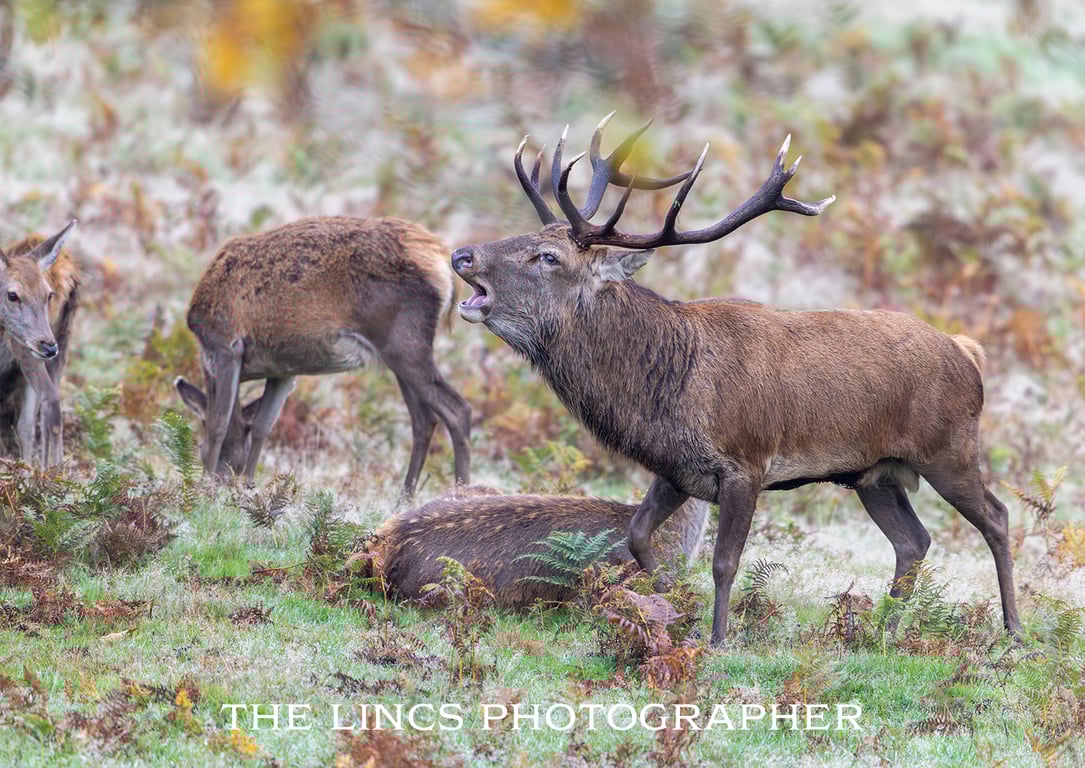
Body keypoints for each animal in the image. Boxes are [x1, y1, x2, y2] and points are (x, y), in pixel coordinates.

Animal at [0, 221, 79, 468]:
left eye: (48, 295)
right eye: (13, 295)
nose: (48, 346)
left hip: (29, 352)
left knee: (49, 400)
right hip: (59, 348)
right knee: (32, 421)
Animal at [175, 216, 471, 496]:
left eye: (198, 435)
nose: (224, 477)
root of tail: (440, 259)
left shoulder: (226, 346)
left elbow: (218, 425)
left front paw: (205, 492)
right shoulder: (283, 370)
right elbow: (263, 426)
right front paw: (247, 488)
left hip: (404, 342)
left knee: (457, 410)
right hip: (399, 353)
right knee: (424, 420)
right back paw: (404, 499)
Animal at [450, 113, 1020, 647]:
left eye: (548, 257)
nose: (462, 255)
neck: (667, 389)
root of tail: (968, 353)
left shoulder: (745, 462)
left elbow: (725, 562)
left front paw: (718, 639)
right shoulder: (677, 468)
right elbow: (637, 536)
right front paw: (675, 605)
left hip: (947, 448)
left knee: (996, 516)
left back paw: (1013, 630)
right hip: (874, 473)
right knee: (913, 541)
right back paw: (885, 631)